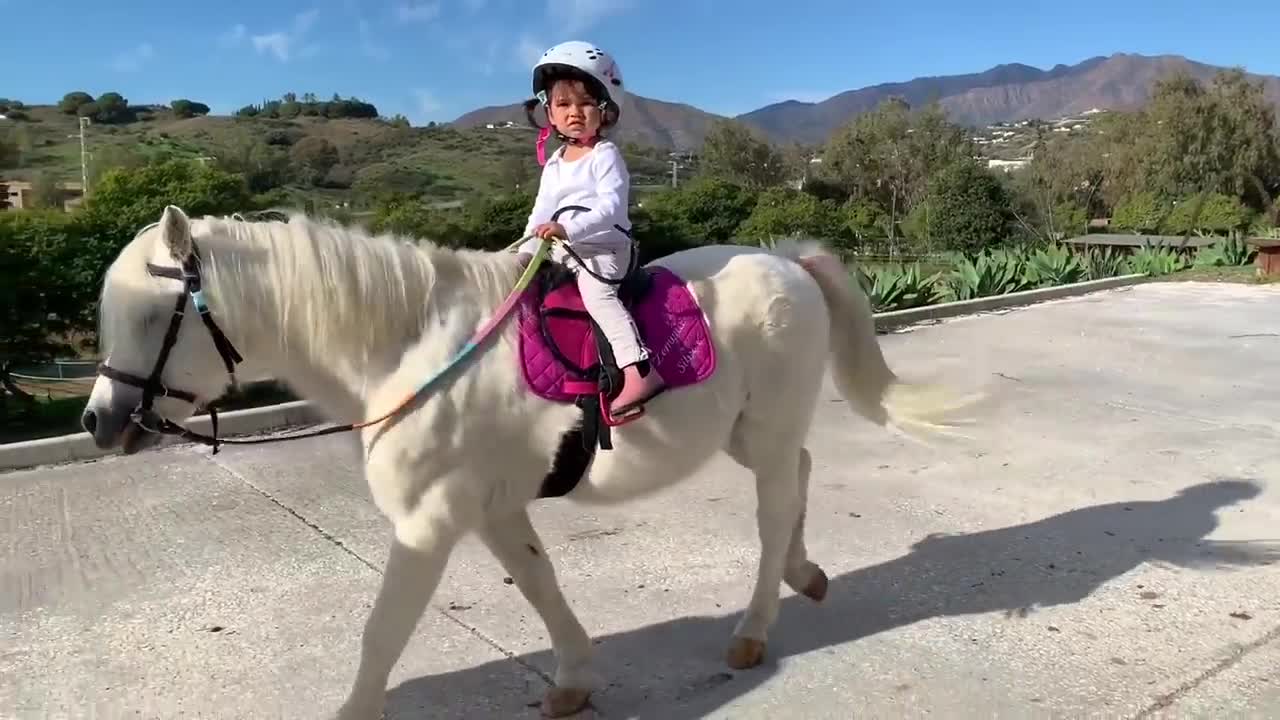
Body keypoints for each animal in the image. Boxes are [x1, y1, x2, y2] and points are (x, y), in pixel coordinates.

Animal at [82, 204, 977, 712]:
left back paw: (756, 628)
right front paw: (574, 678)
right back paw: (805, 573)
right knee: (799, 479)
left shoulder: (429, 522)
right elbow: (540, 585)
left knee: (776, 504)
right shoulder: (492, 507)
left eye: (153, 313)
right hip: (753, 430)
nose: (100, 422)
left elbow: (382, 634)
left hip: (767, 424)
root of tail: (789, 258)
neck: (410, 348)